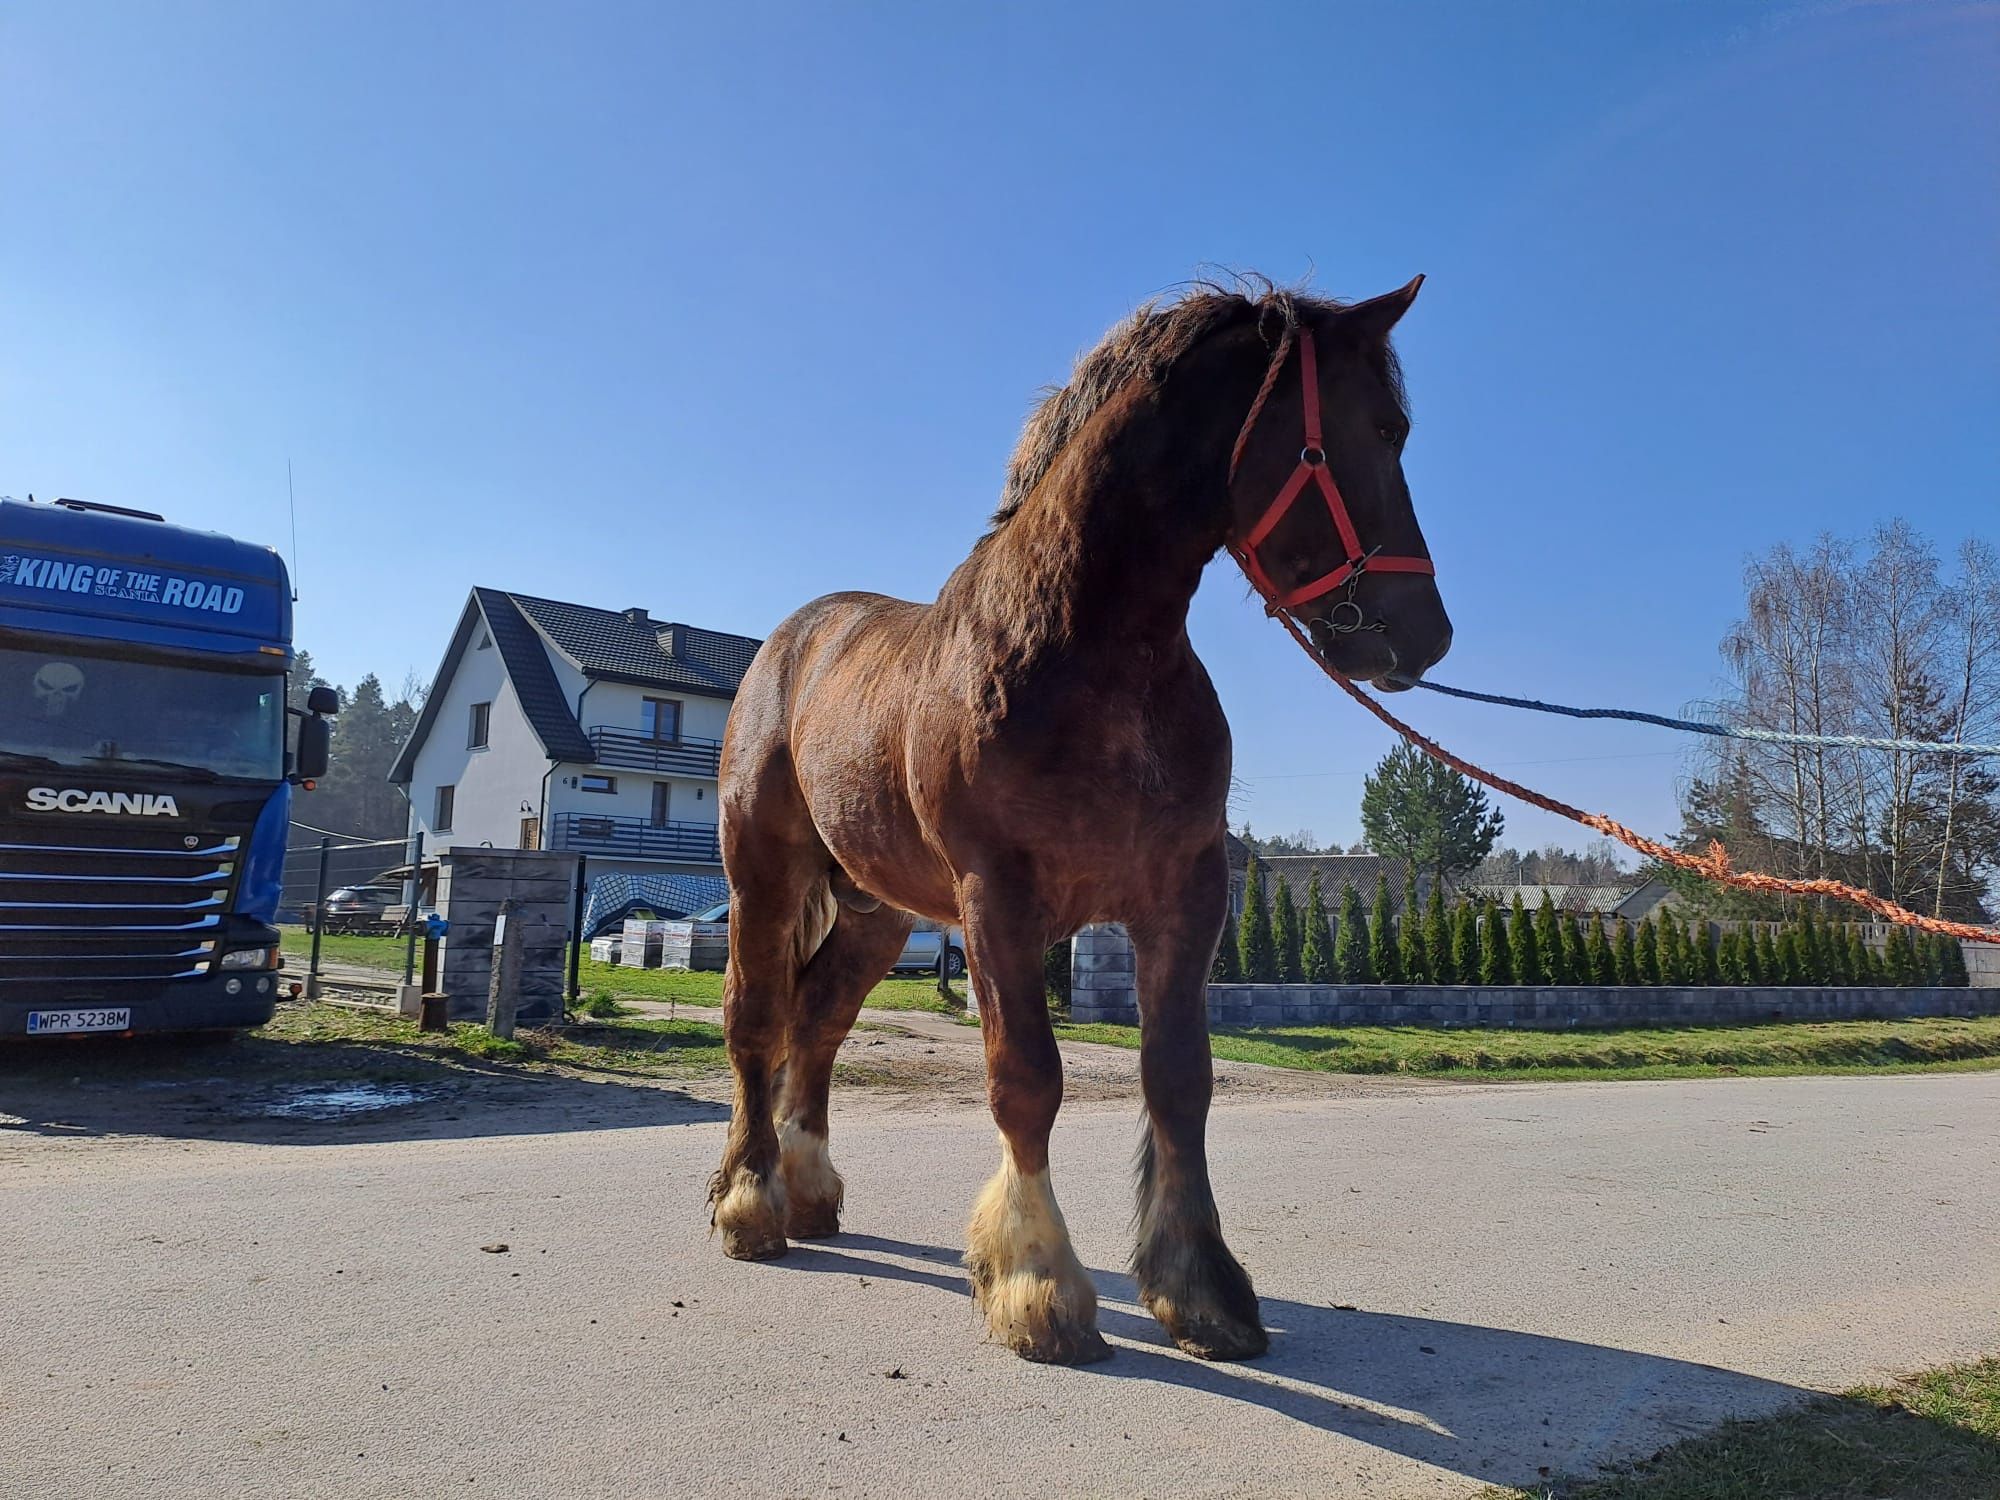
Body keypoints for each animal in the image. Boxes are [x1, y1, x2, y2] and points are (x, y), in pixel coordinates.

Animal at [708, 276, 1456, 1368]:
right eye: (1383, 426)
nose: (1423, 635)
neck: (1084, 652)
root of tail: (791, 641)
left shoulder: (1184, 893)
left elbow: (1178, 1078)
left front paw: (1200, 1290)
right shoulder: (997, 902)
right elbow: (1026, 1077)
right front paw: (1038, 1287)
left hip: (878, 914)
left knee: (818, 1024)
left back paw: (807, 1191)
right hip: (765, 880)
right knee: (756, 1021)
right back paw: (751, 1202)